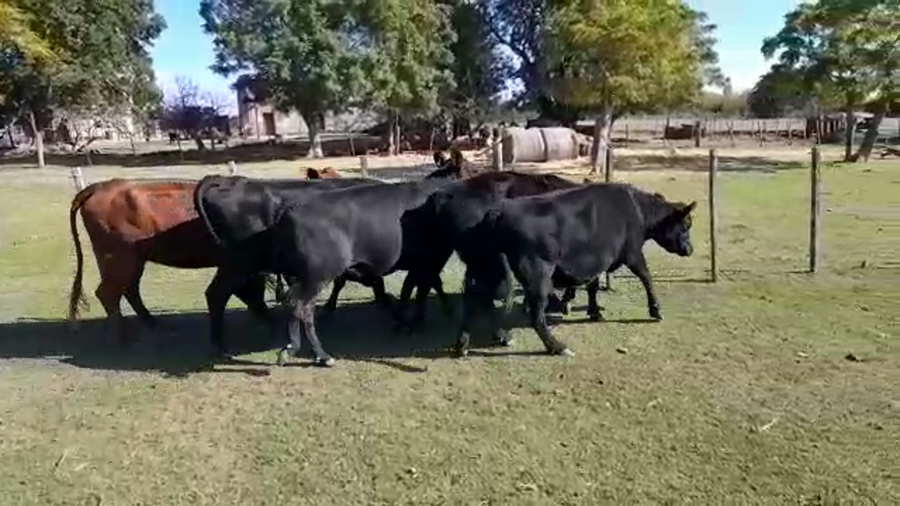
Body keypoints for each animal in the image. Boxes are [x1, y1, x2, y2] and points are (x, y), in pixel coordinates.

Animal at [193, 175, 455, 364]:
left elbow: (408, 286)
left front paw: (401, 317)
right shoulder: (432, 259)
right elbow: (424, 285)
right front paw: (419, 319)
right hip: (284, 269)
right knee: (281, 303)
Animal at [451, 182, 696, 357]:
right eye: (685, 225)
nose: (690, 249)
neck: (636, 209)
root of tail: (499, 210)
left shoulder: (596, 258)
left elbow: (593, 285)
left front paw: (594, 311)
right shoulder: (632, 252)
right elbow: (646, 277)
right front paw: (655, 310)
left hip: (486, 267)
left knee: (475, 300)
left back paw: (465, 344)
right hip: (536, 273)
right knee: (535, 315)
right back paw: (557, 347)